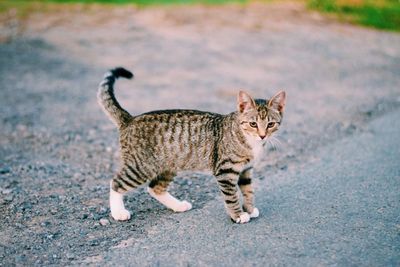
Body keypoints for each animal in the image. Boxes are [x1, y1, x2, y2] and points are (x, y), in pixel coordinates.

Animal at [98, 67, 286, 224]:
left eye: (270, 124)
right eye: (253, 124)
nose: (262, 135)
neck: (248, 140)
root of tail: (130, 119)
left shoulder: (246, 170)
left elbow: (248, 191)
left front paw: (249, 209)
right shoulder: (225, 171)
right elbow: (231, 196)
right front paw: (238, 215)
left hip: (168, 164)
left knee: (155, 188)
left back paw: (178, 206)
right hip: (142, 166)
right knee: (116, 182)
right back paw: (118, 212)